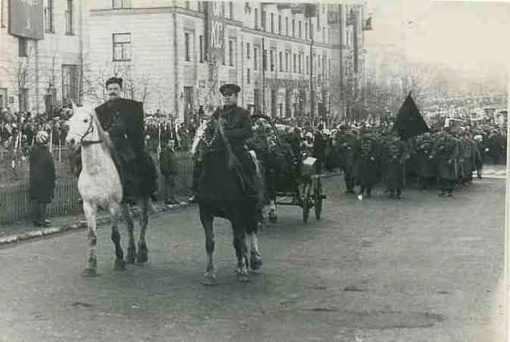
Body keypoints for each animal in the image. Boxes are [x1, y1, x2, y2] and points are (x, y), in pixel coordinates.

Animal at [65, 103, 151, 276]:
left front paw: (119, 261)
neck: (96, 170)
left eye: (85, 120)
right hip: (124, 203)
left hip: (142, 197)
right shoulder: (89, 206)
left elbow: (115, 235)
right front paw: (91, 265)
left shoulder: (113, 206)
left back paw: (141, 253)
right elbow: (92, 236)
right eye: (70, 120)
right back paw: (131, 253)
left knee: (143, 221)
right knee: (130, 224)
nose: (70, 141)